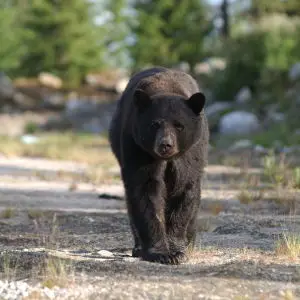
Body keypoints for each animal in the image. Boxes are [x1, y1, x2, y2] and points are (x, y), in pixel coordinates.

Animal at [109, 67, 209, 264]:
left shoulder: (191, 153)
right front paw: (161, 253)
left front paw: (177, 250)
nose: (165, 145)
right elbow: (145, 190)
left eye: (179, 125)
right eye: (154, 124)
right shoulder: (138, 147)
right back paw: (138, 247)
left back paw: (190, 242)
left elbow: (183, 191)